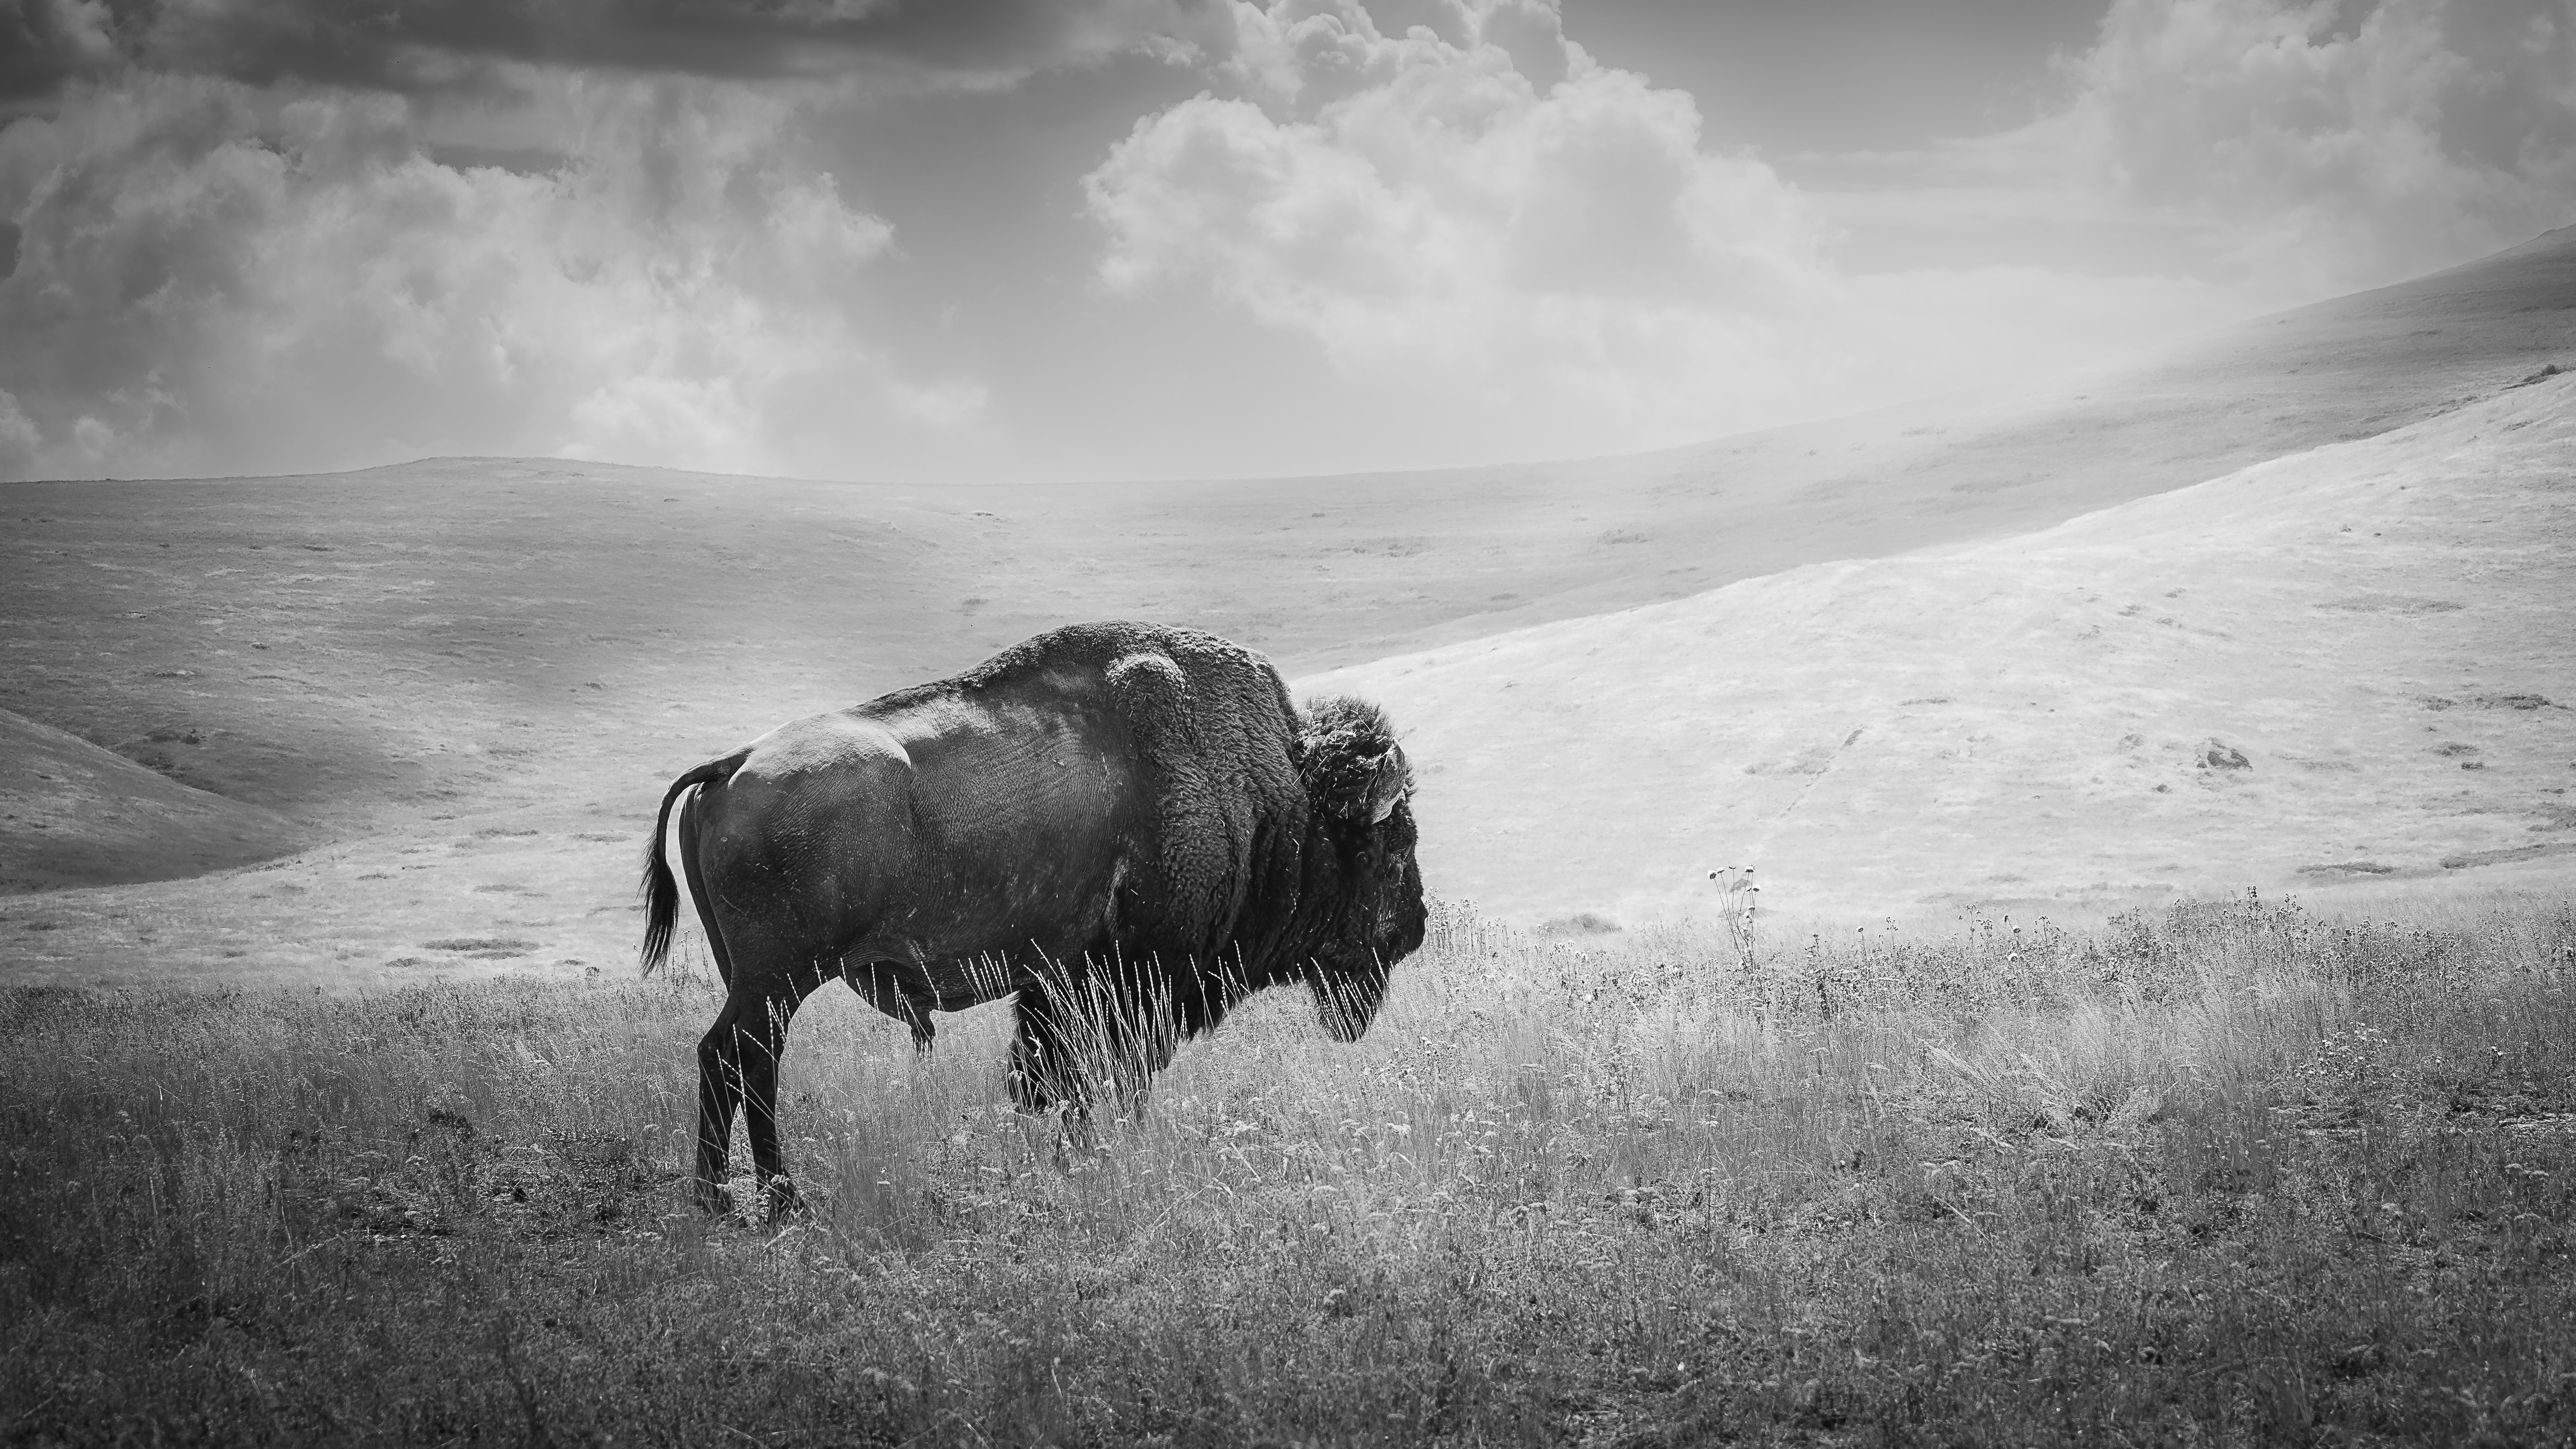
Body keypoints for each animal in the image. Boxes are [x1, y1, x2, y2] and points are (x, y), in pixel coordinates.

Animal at [640, 621, 1427, 1213]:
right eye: (1392, 846)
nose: (1413, 930)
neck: (1275, 794)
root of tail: (731, 764)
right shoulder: (1137, 982)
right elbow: (1106, 1079)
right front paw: (1105, 1155)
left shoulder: (1056, 981)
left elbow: (1046, 1079)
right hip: (778, 980)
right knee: (734, 1059)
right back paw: (760, 1201)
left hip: (759, 982)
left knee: (740, 1063)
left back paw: (742, 1198)